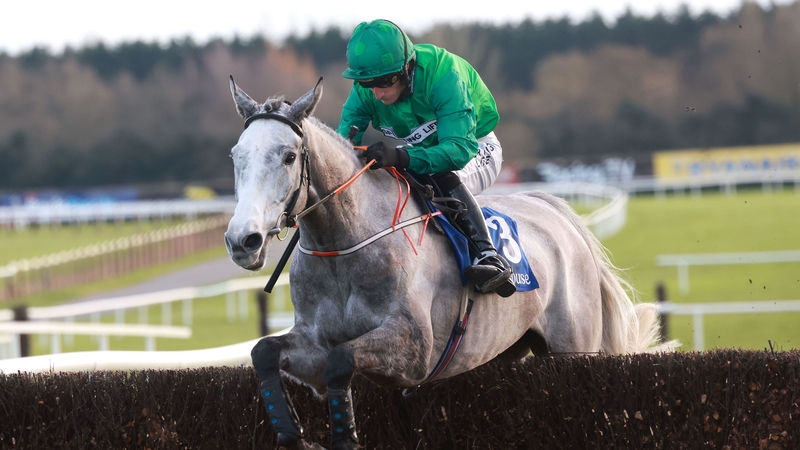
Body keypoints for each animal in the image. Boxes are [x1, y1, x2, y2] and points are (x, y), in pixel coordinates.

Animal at [224, 77, 669, 450]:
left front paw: (344, 435)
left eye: (288, 156)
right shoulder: (314, 341)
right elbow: (265, 351)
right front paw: (291, 433)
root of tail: (556, 210)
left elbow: (342, 360)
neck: (342, 243)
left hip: (574, 349)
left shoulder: (415, 348)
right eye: (235, 155)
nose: (242, 240)